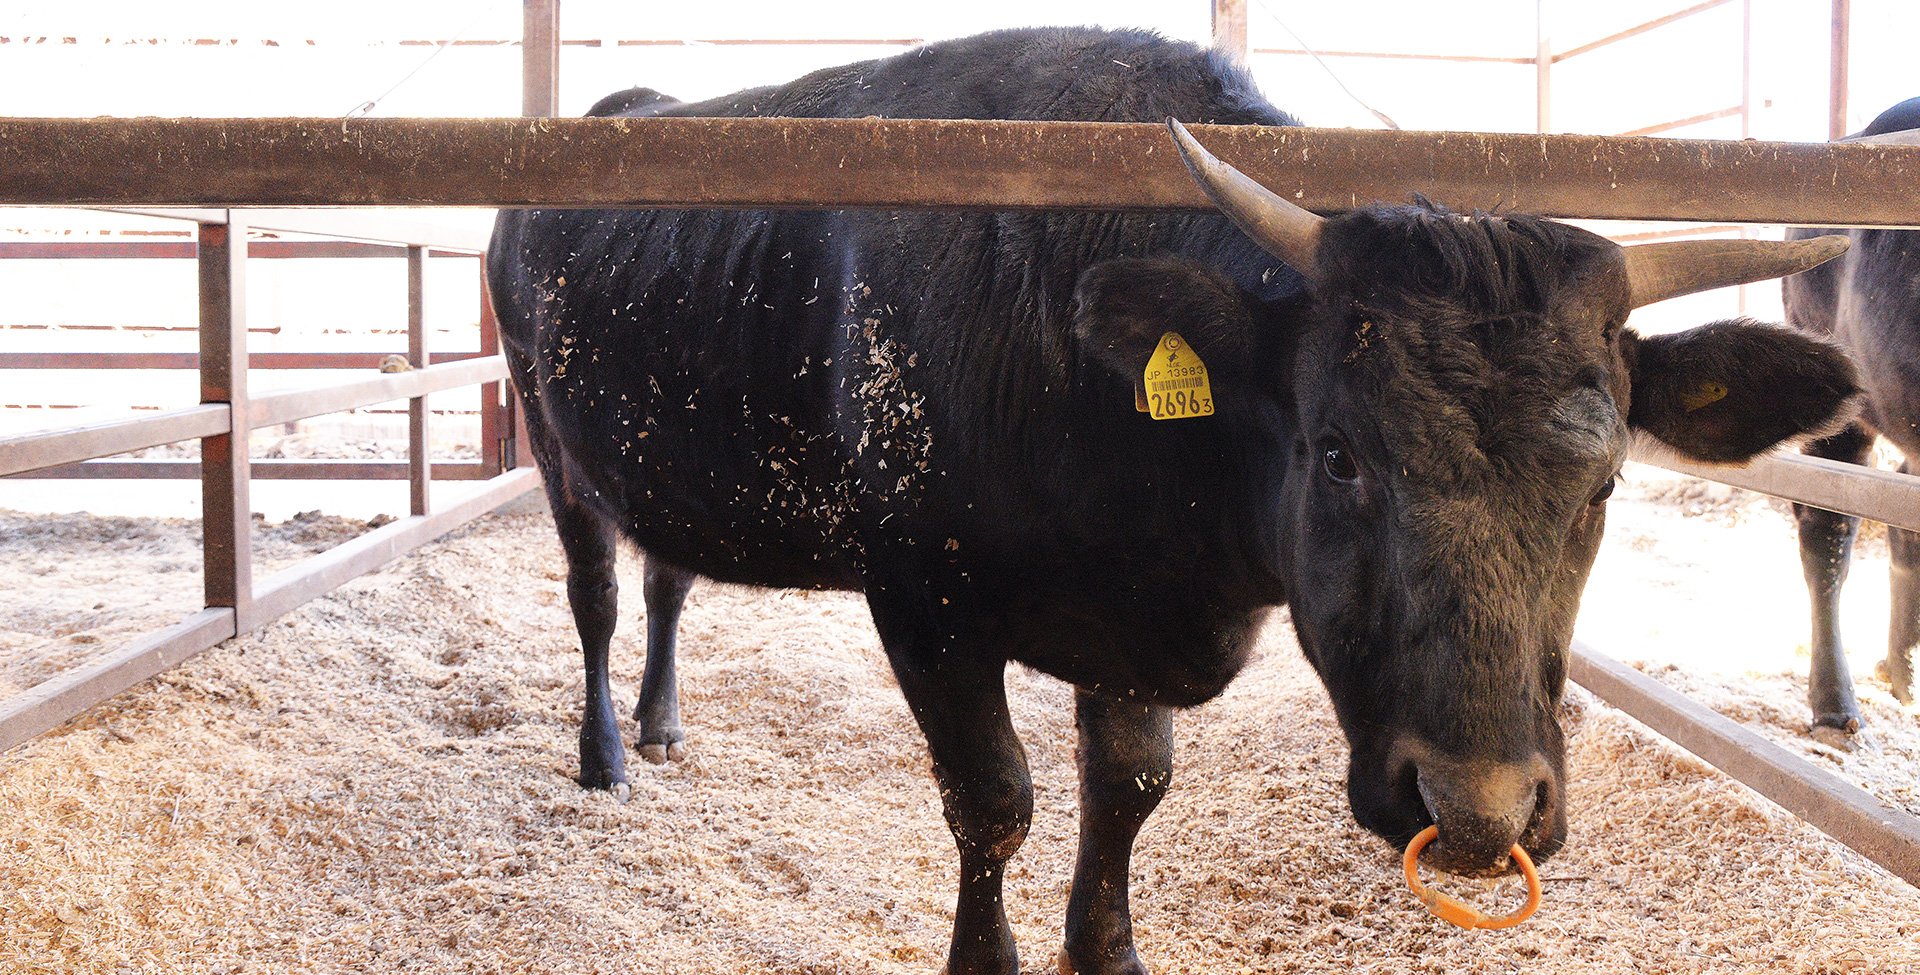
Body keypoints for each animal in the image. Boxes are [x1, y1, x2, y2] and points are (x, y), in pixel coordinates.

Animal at [491, 28, 1858, 975]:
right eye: (1338, 454)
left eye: (1607, 480)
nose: (1478, 813)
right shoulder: (924, 601)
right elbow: (994, 803)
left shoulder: (1133, 629)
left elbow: (1129, 791)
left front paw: (1108, 947)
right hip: (553, 448)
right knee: (598, 594)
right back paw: (605, 753)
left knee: (669, 578)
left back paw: (662, 726)